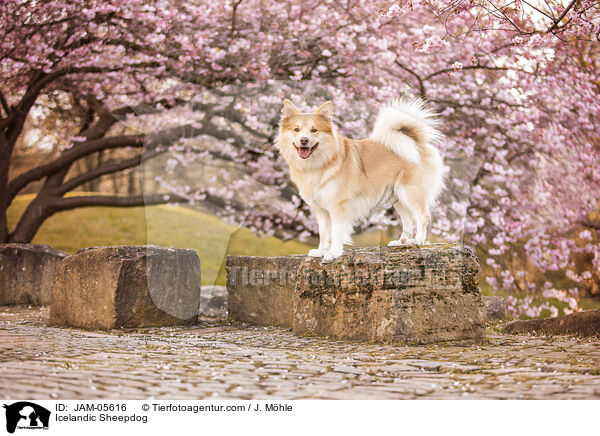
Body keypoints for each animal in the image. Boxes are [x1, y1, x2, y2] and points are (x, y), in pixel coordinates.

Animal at [276, 97, 446, 260]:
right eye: (296, 129)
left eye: (314, 130)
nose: (304, 140)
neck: (321, 163)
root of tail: (416, 141)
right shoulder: (321, 210)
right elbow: (324, 234)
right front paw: (320, 251)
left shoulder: (338, 206)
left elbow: (336, 232)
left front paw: (333, 253)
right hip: (397, 197)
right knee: (408, 220)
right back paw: (402, 242)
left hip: (411, 193)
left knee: (423, 216)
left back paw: (419, 241)